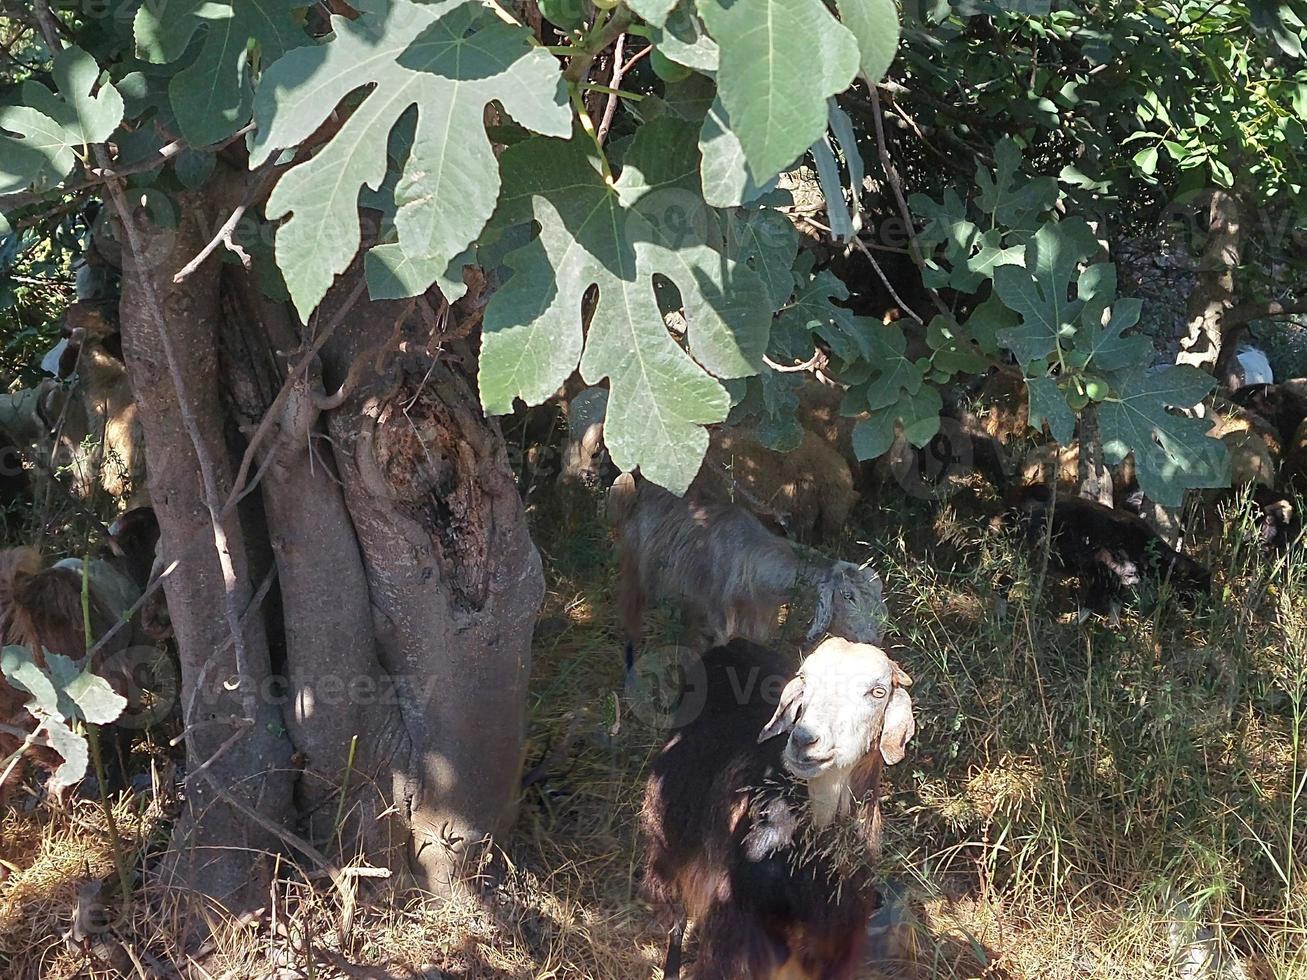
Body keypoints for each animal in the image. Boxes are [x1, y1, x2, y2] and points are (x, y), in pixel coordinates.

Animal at [637, 640, 914, 977]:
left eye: (878, 692)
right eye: (804, 680)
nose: (804, 741)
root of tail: (731, 645)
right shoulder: (736, 931)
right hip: (667, 835)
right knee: (674, 912)